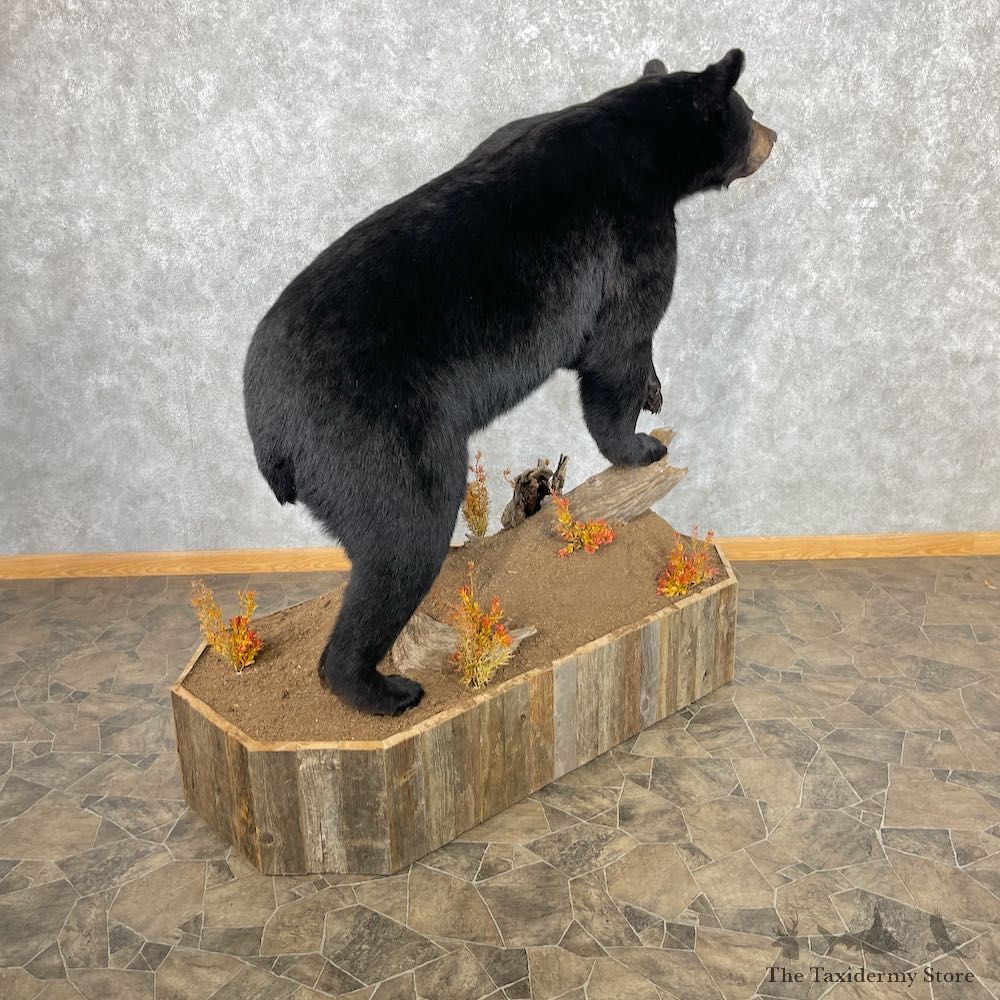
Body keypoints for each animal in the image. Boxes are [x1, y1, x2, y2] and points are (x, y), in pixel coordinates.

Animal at [244, 49, 776, 716]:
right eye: (748, 113)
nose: (774, 137)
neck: (644, 140)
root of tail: (267, 425)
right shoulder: (633, 233)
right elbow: (616, 345)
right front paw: (639, 447)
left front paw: (655, 390)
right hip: (370, 437)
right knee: (402, 540)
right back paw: (383, 689)